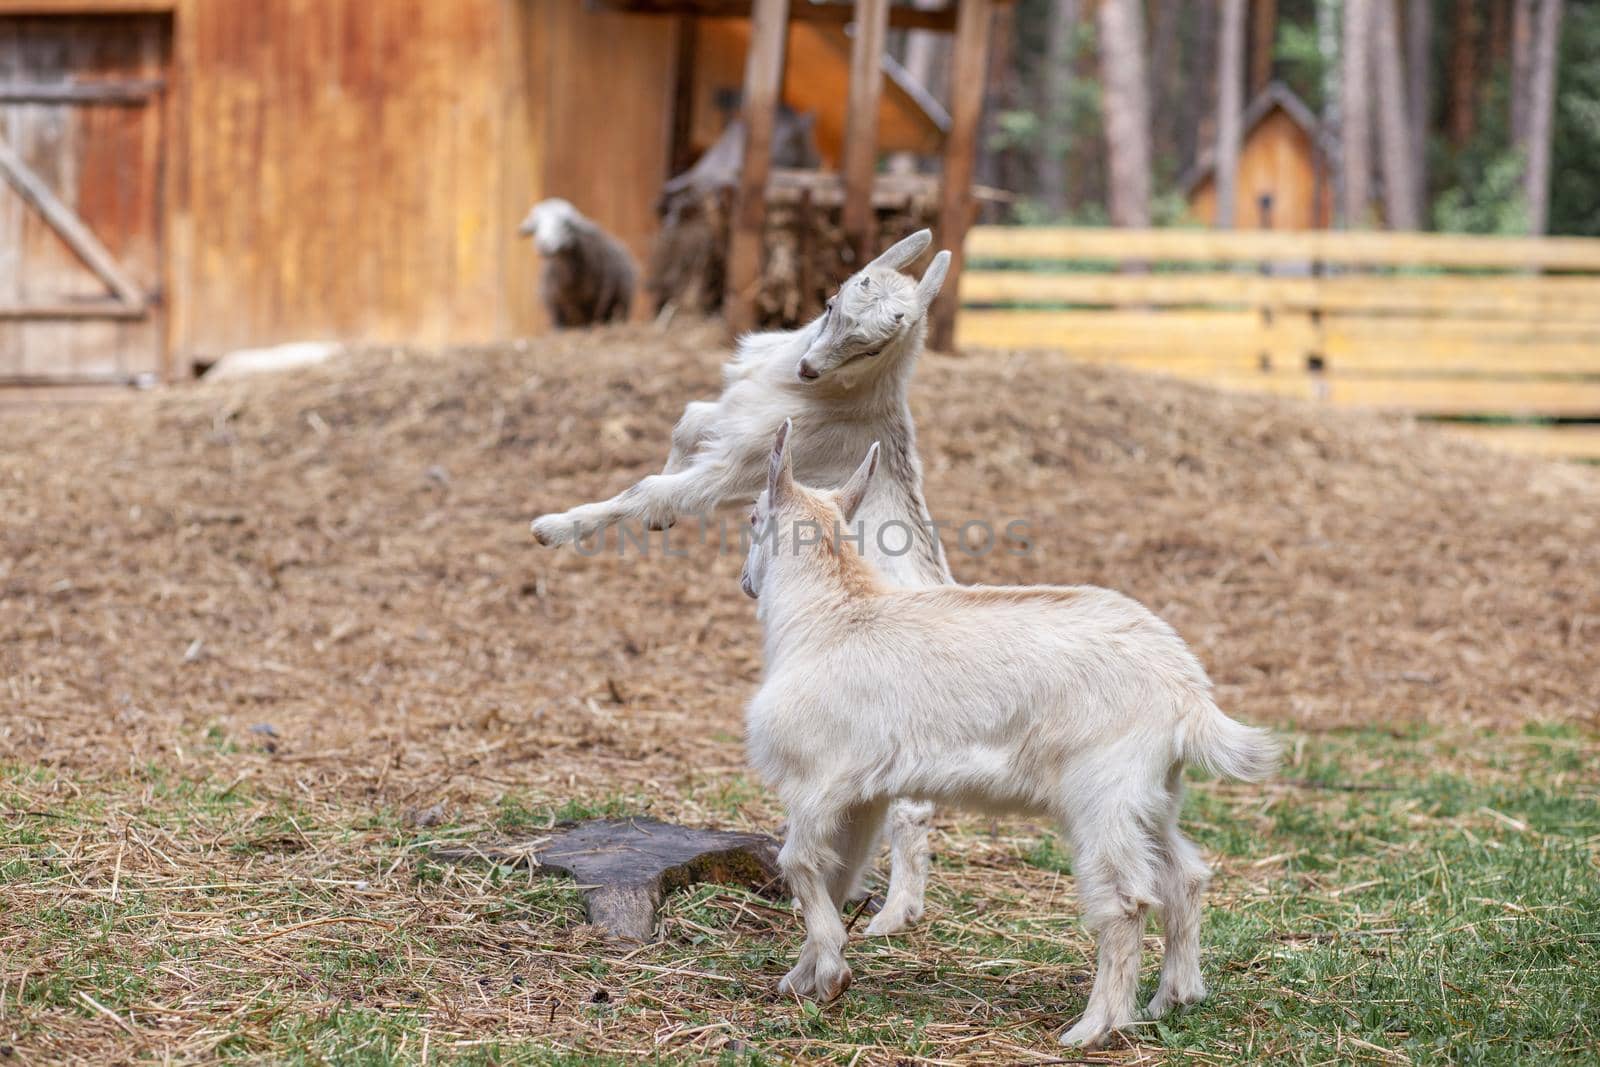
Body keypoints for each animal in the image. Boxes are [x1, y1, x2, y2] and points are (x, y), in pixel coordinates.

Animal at [515, 198, 633, 327]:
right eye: (536, 227)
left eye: (565, 225)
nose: (544, 244)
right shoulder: (552, 303)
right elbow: (557, 325)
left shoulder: (595, 299)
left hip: (623, 296)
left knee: (619, 314)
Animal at [537, 227, 953, 934]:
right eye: (833, 300)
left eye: (877, 343)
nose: (808, 368)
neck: (845, 397)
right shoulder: (735, 424)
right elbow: (685, 422)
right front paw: (658, 520)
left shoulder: (743, 461)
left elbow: (651, 487)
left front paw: (557, 526)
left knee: (910, 809)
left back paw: (890, 915)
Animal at [742, 419, 1280, 1049]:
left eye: (752, 516)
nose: (747, 582)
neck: (829, 618)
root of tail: (1185, 689)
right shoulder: (860, 794)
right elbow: (834, 873)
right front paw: (804, 978)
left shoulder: (814, 781)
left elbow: (800, 863)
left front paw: (827, 972)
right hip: (1151, 796)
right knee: (1183, 877)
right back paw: (1171, 998)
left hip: (1101, 795)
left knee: (1125, 901)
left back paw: (1095, 1027)